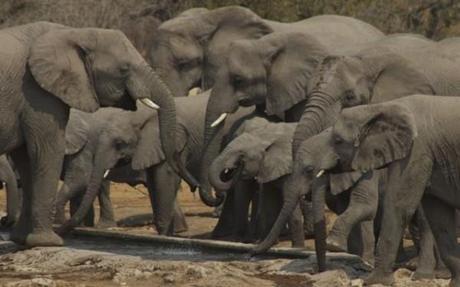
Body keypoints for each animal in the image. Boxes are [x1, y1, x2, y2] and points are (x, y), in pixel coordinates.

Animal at [0, 22, 175, 248]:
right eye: (124, 69)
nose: (4, 221)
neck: (73, 32)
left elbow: (26, 158)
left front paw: (22, 240)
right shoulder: (36, 94)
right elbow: (46, 150)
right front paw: (49, 242)